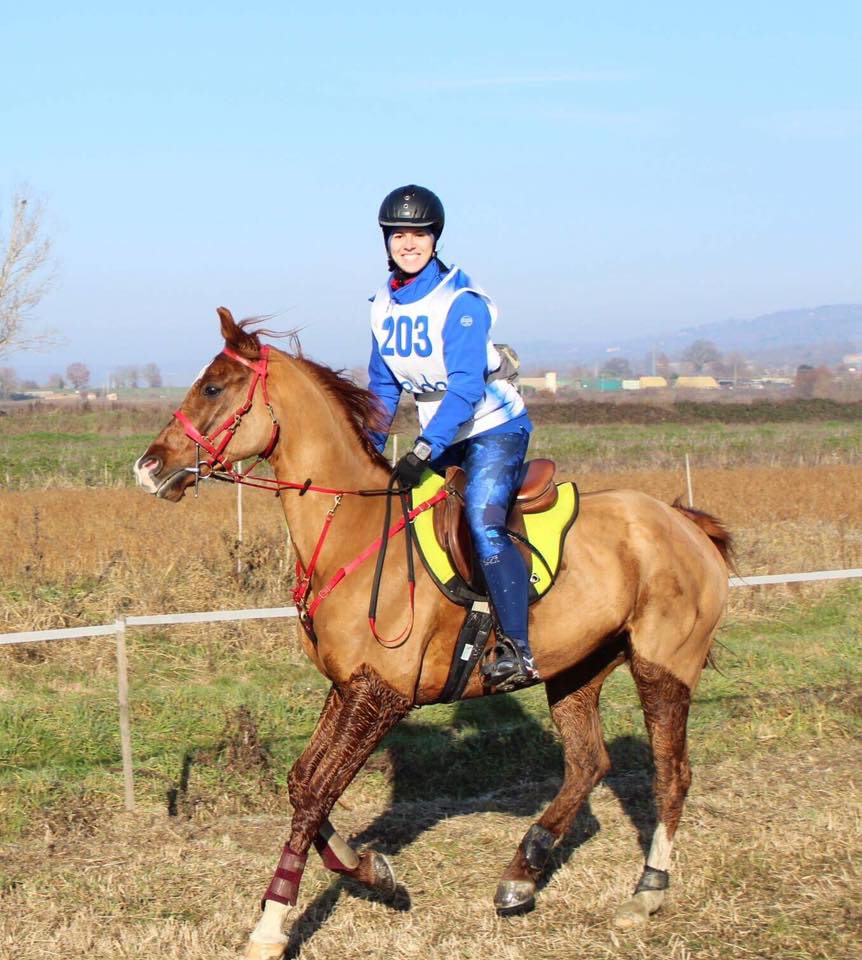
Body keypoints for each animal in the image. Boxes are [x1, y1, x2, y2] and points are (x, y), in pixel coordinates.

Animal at [134, 308, 732, 959]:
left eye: (214, 387)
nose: (148, 468)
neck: (353, 528)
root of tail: (683, 520)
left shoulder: (381, 696)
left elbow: (315, 792)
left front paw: (272, 925)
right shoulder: (347, 688)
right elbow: (301, 784)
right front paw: (374, 872)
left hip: (662, 666)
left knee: (671, 774)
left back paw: (646, 891)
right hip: (577, 669)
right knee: (588, 764)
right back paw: (522, 875)